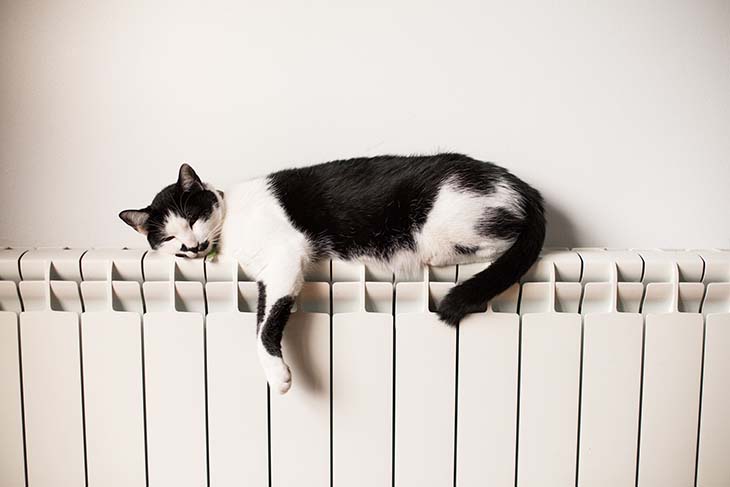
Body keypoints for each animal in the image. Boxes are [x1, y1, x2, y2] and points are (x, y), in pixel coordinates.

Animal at [118, 154, 540, 394]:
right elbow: (261, 315)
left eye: (192, 217)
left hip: (443, 228)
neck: (227, 230)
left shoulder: (286, 256)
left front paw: (278, 375)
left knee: (506, 239)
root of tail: (522, 185)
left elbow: (267, 322)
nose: (192, 247)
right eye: (169, 236)